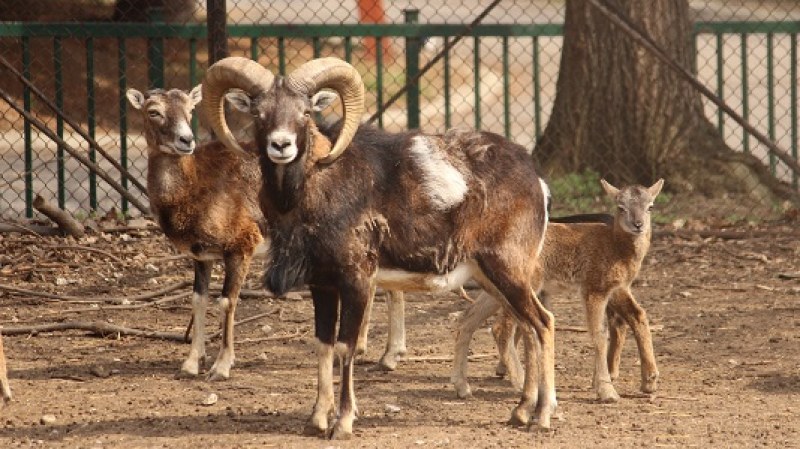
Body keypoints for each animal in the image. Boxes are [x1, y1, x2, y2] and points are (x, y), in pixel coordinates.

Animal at [126, 86, 266, 380]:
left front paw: (221, 368)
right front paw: (191, 364)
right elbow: (198, 300)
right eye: (153, 112)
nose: (186, 140)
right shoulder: (202, 257)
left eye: (190, 109)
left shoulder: (239, 250)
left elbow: (226, 302)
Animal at [202, 56, 556, 438]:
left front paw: (342, 423)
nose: (280, 145)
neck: (317, 190)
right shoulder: (322, 285)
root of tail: (536, 181)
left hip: (507, 272)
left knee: (543, 324)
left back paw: (542, 415)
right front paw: (317, 419)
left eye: (306, 112)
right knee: (528, 328)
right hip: (494, 280)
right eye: (259, 113)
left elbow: (346, 347)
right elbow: (324, 345)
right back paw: (520, 412)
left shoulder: (357, 281)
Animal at [450, 177, 664, 400]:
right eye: (620, 207)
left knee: (468, 318)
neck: (615, 248)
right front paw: (607, 392)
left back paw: (463, 387)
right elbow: (599, 334)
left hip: (495, 288)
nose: (638, 225)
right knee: (500, 327)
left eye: (650, 206)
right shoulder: (594, 288)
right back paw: (520, 383)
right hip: (526, 285)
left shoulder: (614, 288)